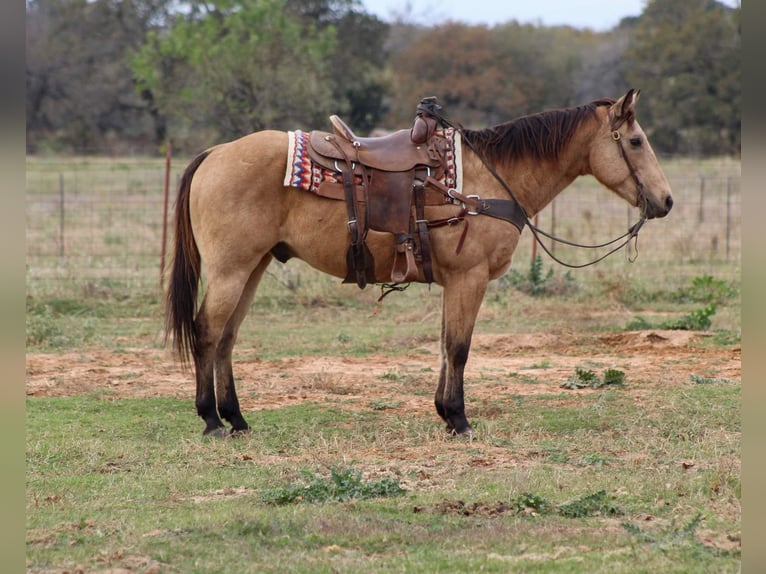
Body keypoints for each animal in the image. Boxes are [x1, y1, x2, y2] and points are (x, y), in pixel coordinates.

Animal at [165, 89, 673, 438]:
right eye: (635, 141)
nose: (666, 201)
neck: (489, 181)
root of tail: (215, 153)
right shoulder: (470, 279)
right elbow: (459, 348)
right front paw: (461, 420)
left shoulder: (455, 282)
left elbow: (446, 345)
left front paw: (445, 413)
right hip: (231, 270)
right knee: (207, 332)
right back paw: (212, 420)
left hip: (252, 268)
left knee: (227, 338)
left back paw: (237, 419)